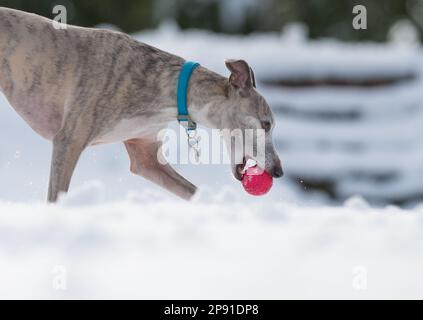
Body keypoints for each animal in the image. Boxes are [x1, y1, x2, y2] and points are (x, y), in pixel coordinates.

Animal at [0, 7, 284, 201]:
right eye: (266, 124)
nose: (279, 171)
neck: (170, 87)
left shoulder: (146, 157)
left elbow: (192, 190)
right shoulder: (68, 141)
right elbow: (56, 196)